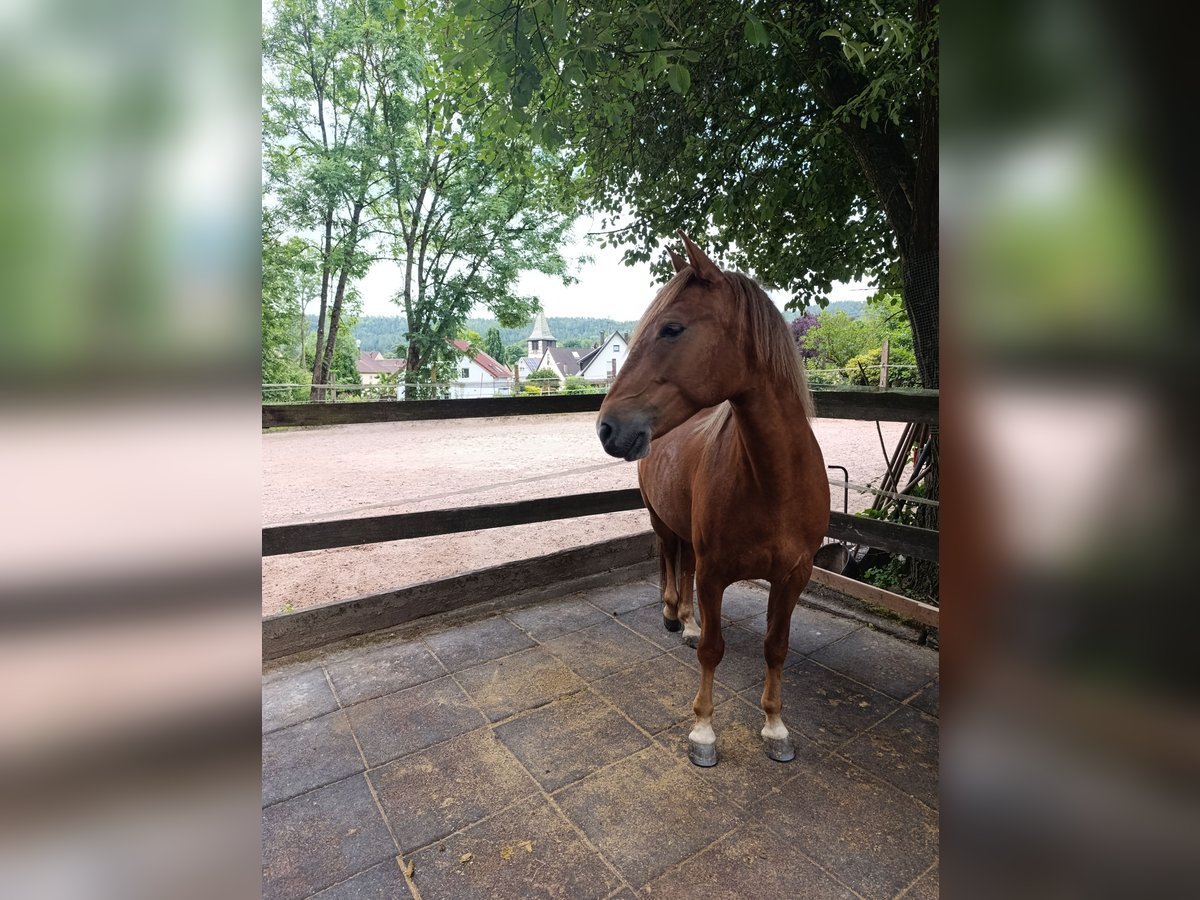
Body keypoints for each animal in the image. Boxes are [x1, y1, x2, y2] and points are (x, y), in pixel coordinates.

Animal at [596, 234, 830, 767]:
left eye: (672, 328)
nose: (607, 427)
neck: (772, 483)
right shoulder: (716, 572)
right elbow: (712, 649)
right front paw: (703, 732)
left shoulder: (794, 576)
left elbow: (776, 647)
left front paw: (776, 727)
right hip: (662, 522)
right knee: (669, 560)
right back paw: (672, 615)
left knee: (682, 567)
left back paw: (685, 621)